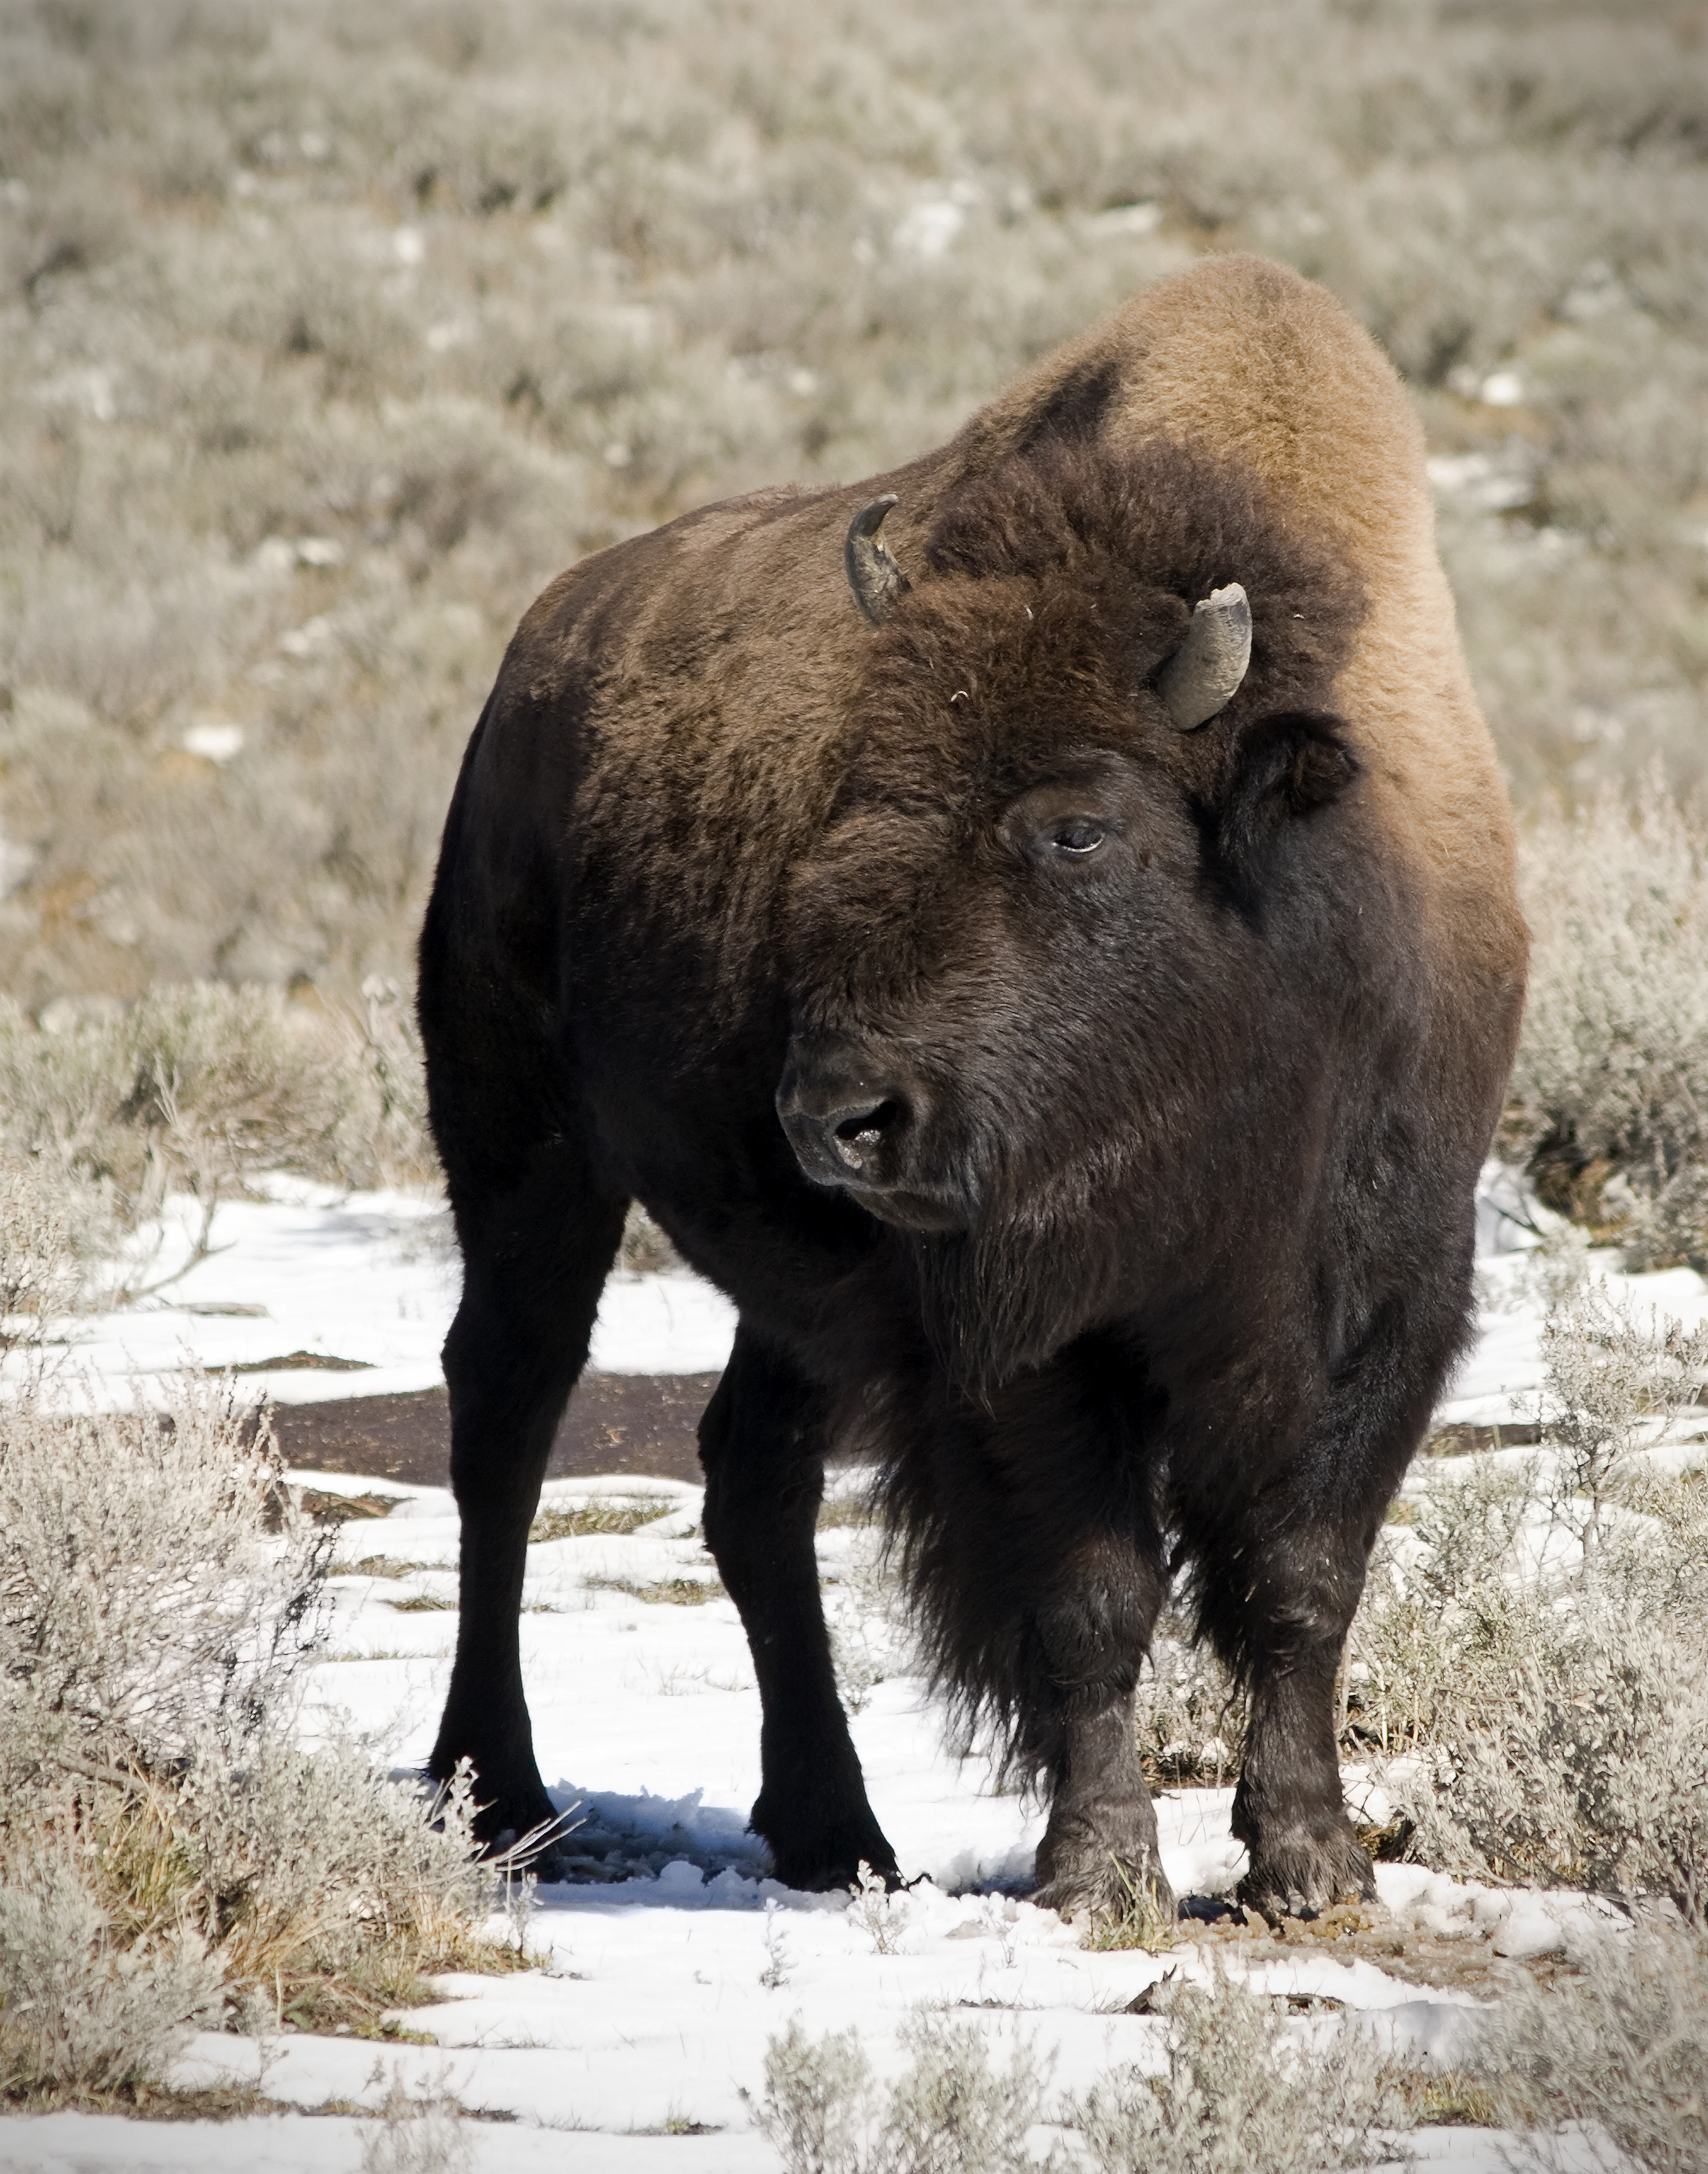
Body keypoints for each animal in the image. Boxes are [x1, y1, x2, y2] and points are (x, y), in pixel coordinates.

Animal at [419, 254, 1521, 1921]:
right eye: (854, 791)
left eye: (1077, 825)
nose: (841, 1116)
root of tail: (526, 665)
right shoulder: (1025, 1332)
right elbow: (1094, 1593)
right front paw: (1098, 1872)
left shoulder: (1390, 1299)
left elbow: (1300, 1583)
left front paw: (1309, 1864)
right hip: (527, 1155)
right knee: (507, 1421)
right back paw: (495, 1796)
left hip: (782, 1279)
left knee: (751, 1478)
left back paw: (834, 1834)